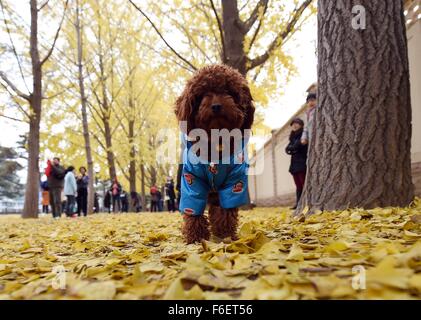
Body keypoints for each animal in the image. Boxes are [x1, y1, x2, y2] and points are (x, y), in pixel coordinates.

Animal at [173, 65, 253, 245]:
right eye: (202, 93)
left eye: (228, 91)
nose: (216, 106)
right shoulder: (191, 180)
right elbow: (192, 209)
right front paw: (195, 238)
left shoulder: (234, 183)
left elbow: (226, 211)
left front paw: (225, 236)